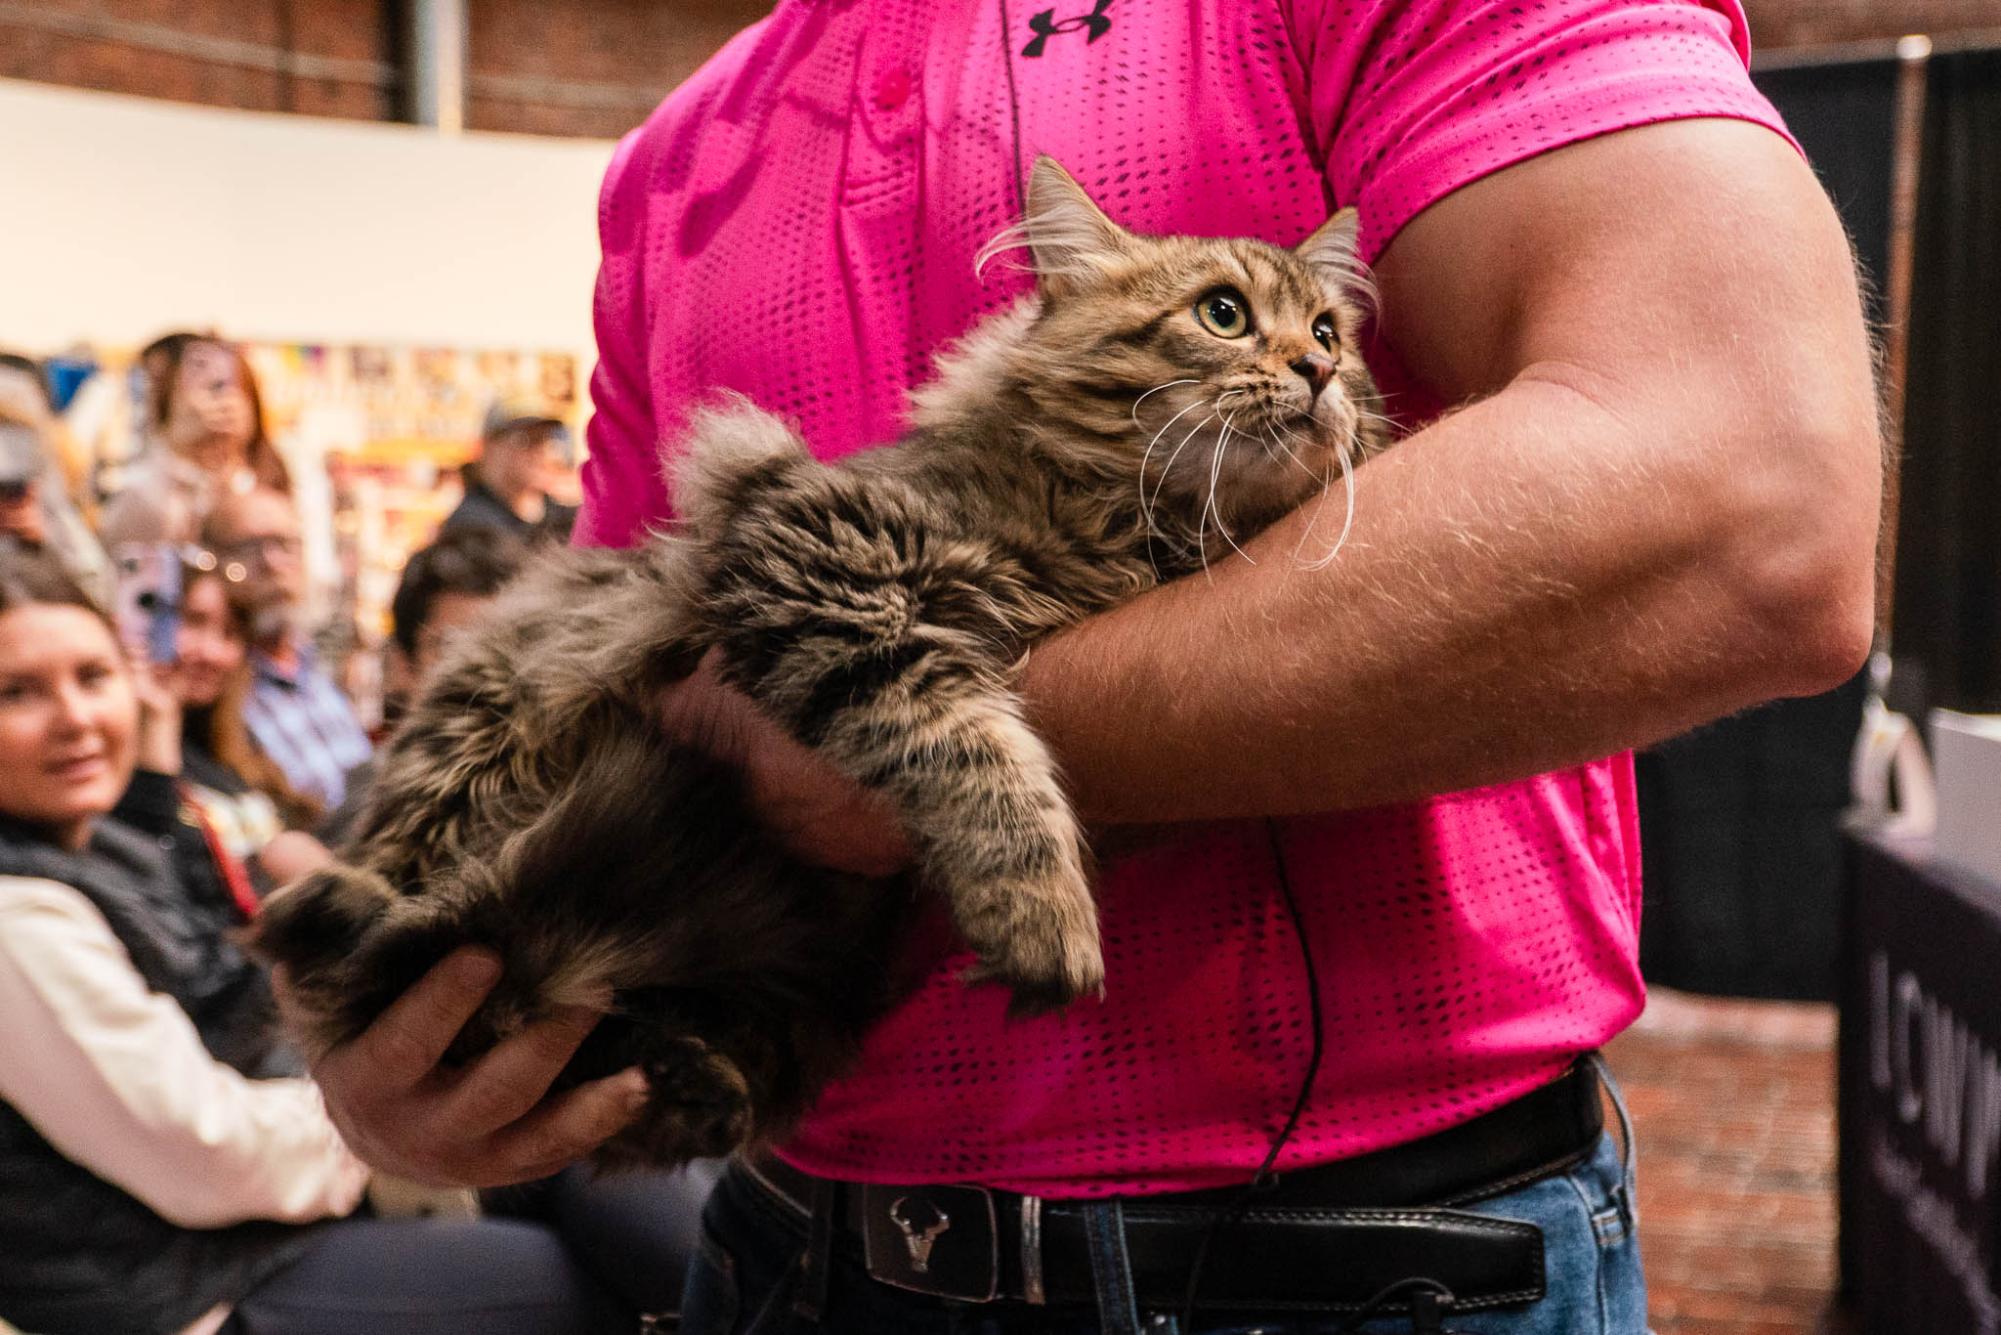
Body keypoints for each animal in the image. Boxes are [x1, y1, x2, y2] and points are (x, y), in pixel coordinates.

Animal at [242, 162, 1384, 1168]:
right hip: (487, 725)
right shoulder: (813, 559)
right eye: (1224, 314)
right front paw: (1039, 910)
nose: (1318, 372)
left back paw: (692, 1074)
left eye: (1328, 331)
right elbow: (971, 746)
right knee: (396, 953)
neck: (1129, 526)